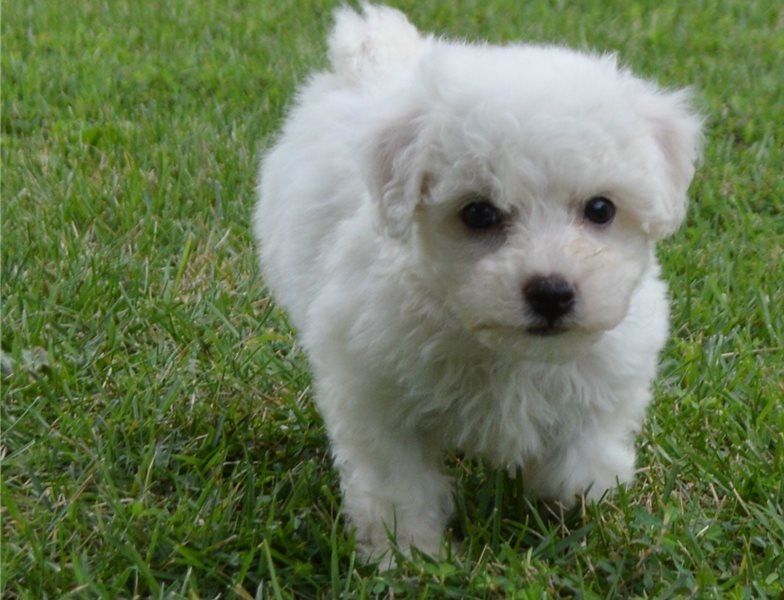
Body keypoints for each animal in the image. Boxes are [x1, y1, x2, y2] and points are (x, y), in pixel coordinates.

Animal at [254, 3, 700, 564]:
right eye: (479, 214)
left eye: (601, 209)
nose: (552, 292)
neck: (506, 351)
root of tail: (378, 53)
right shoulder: (375, 391)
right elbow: (399, 486)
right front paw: (409, 556)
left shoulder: (609, 373)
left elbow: (585, 452)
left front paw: (578, 506)